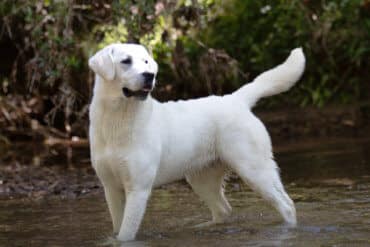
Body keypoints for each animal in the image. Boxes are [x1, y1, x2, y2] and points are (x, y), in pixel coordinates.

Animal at [88, 43, 304, 241]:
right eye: (126, 61)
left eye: (146, 62)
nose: (149, 75)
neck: (117, 120)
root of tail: (235, 99)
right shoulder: (111, 188)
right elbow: (117, 229)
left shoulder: (138, 189)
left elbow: (125, 234)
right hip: (202, 178)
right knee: (223, 210)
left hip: (254, 169)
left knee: (287, 205)